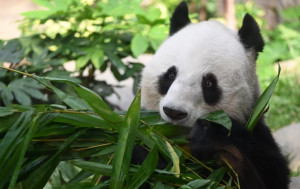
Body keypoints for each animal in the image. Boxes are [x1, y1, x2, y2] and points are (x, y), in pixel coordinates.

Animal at [140, 1, 290, 189]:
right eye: (170, 75)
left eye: (209, 83)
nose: (174, 112)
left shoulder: (255, 127)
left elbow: (270, 173)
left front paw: (209, 135)